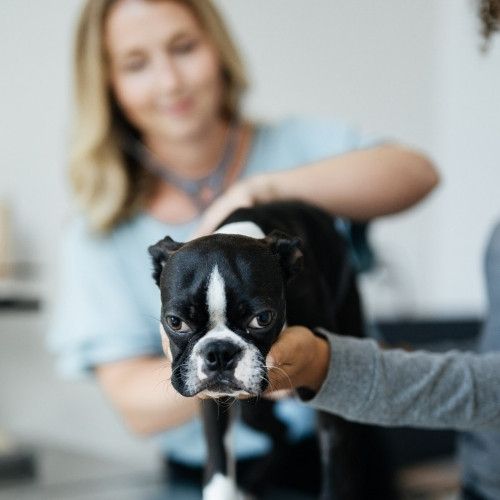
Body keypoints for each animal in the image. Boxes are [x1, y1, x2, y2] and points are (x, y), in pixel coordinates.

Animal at [148, 201, 394, 500]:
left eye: (262, 319)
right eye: (176, 322)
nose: (220, 352)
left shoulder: (329, 387)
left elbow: (337, 466)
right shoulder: (209, 400)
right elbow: (218, 465)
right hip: (252, 411)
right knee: (282, 433)